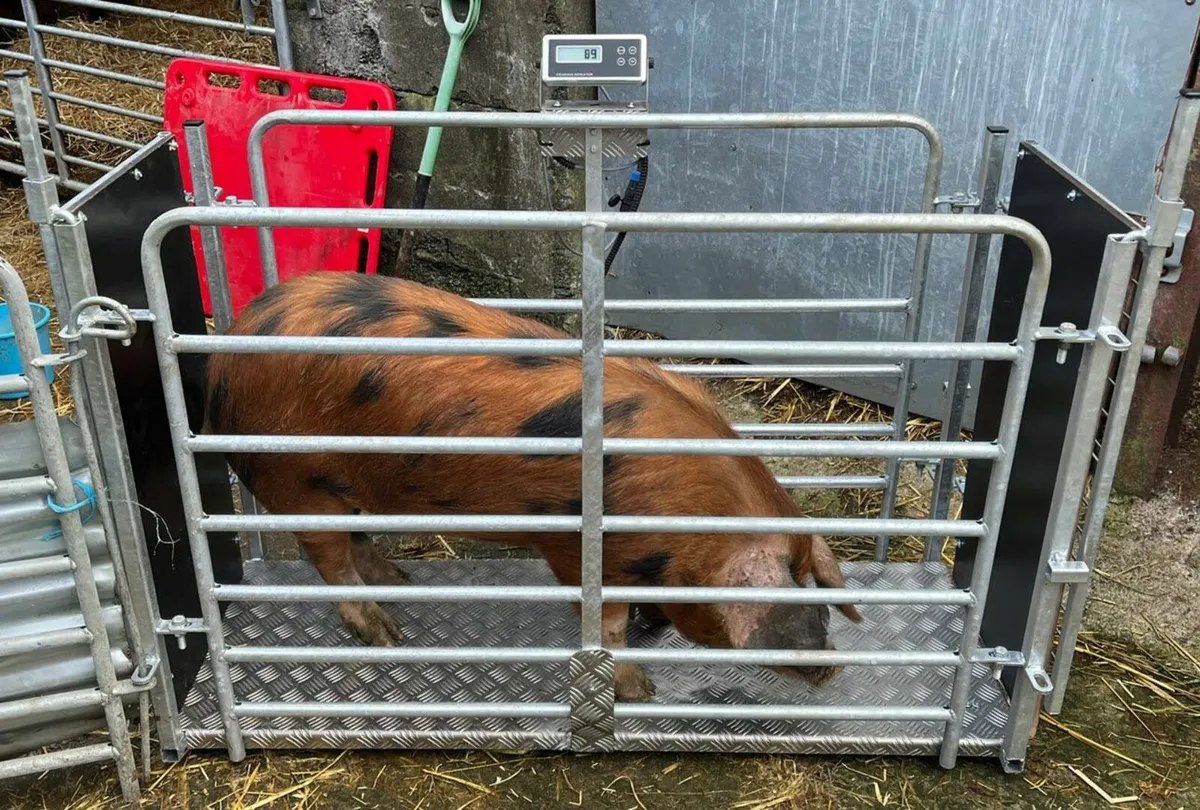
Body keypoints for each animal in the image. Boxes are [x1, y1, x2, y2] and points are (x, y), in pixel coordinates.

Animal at [203, 271, 862, 701]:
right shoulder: (580, 552)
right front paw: (641, 691)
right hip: (297, 477)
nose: (834, 668)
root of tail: (222, 363)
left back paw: (402, 580)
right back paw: (387, 636)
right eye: (800, 594)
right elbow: (606, 626)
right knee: (329, 558)